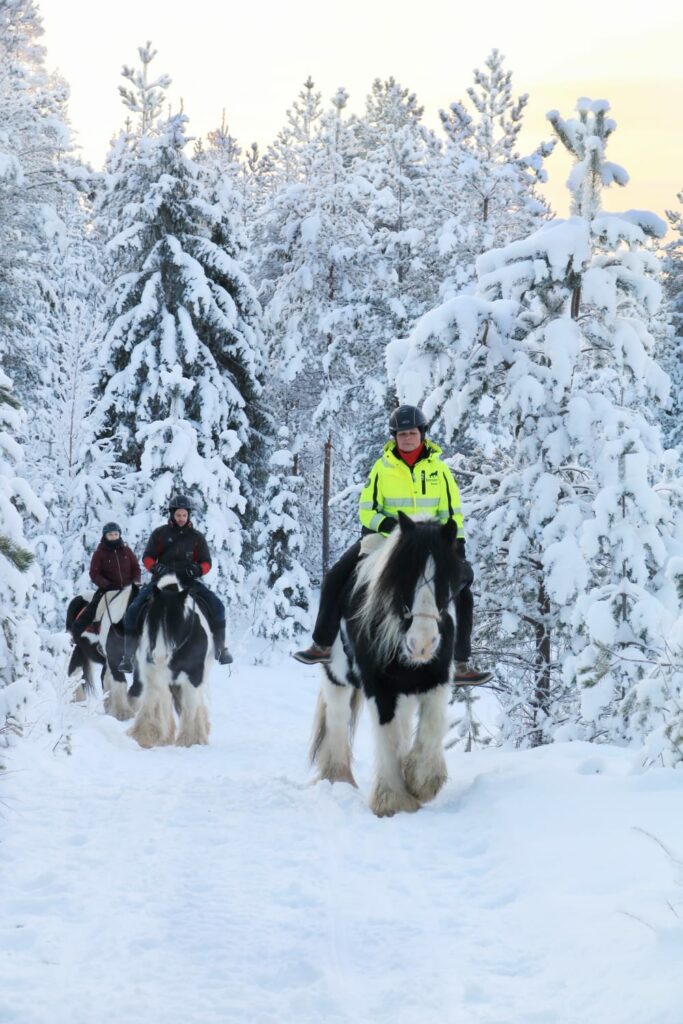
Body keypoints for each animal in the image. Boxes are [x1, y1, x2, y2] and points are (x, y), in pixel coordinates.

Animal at [66, 585, 139, 720]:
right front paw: (123, 713)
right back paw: (79, 703)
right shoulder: (114, 658)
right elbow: (120, 681)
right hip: (78, 650)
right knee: (75, 672)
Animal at [126, 573, 211, 749]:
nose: (159, 656)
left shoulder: (194, 676)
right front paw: (145, 736)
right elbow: (153, 702)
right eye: (151, 621)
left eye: (177, 623)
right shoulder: (154, 674)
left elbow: (190, 706)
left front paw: (190, 740)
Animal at [311, 516, 464, 819]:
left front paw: (421, 781)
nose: (422, 644)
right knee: (337, 719)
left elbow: (432, 723)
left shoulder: (437, 679)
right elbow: (387, 737)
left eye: (446, 580)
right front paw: (393, 799)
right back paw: (338, 778)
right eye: (403, 576)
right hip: (336, 678)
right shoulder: (379, 688)